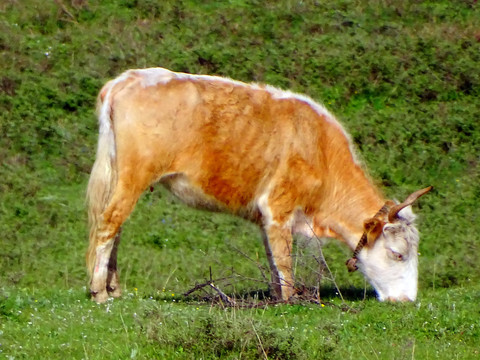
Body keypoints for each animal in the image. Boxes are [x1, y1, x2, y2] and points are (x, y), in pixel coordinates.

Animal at [85, 67, 432, 304]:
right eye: (398, 254)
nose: (408, 301)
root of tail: (127, 79)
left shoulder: (266, 216)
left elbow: (271, 256)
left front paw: (277, 296)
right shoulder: (279, 206)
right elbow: (283, 258)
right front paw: (290, 300)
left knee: (116, 227)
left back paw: (114, 288)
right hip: (134, 175)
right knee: (109, 222)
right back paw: (99, 291)